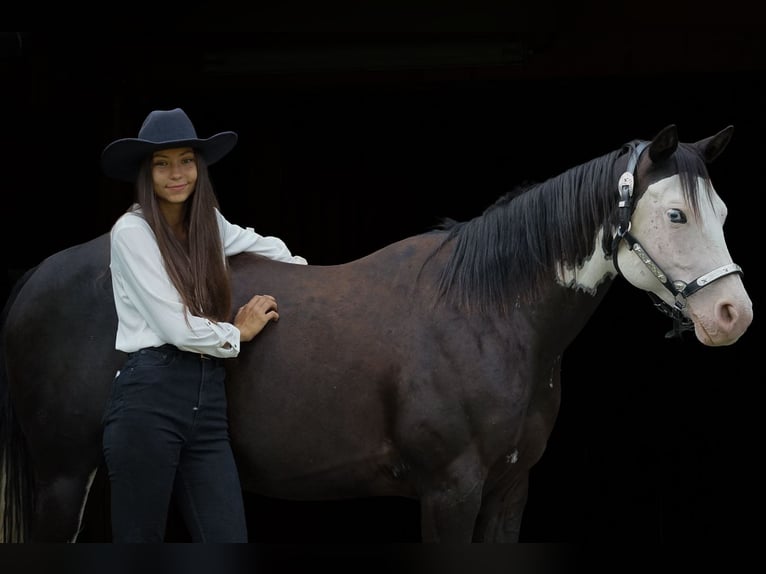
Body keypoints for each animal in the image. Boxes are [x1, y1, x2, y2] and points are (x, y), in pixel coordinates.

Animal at [0, 124, 753, 543]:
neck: (487, 314)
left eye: (719, 210)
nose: (733, 315)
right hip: (64, 478)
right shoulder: (450, 492)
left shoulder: (509, 492)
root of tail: (37, 277)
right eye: (677, 215)